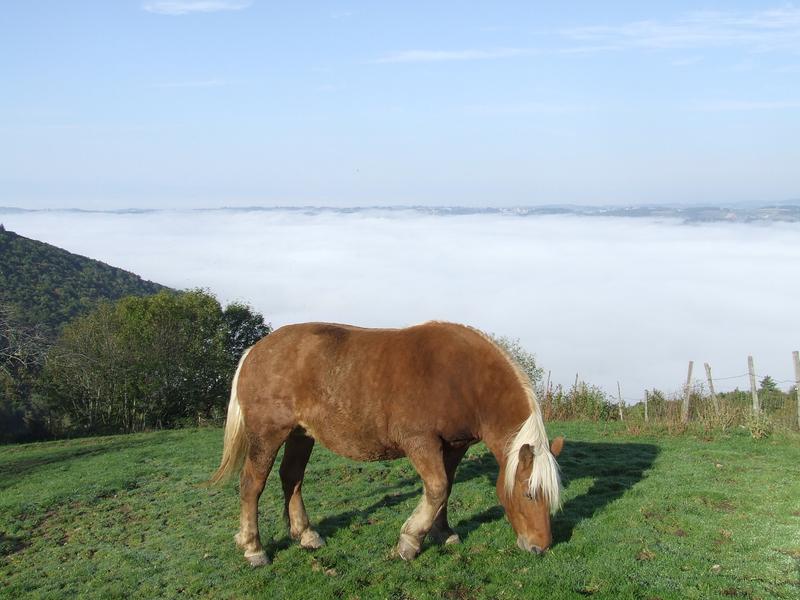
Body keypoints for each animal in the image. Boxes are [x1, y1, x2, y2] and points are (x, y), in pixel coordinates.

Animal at [209, 321, 563, 566]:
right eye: (529, 494)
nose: (541, 547)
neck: (464, 378)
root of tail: (254, 351)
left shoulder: (453, 446)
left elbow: (445, 490)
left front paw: (443, 533)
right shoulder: (420, 442)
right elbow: (437, 488)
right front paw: (410, 542)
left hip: (300, 435)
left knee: (291, 478)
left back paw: (306, 535)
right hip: (268, 434)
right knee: (252, 485)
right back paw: (254, 549)